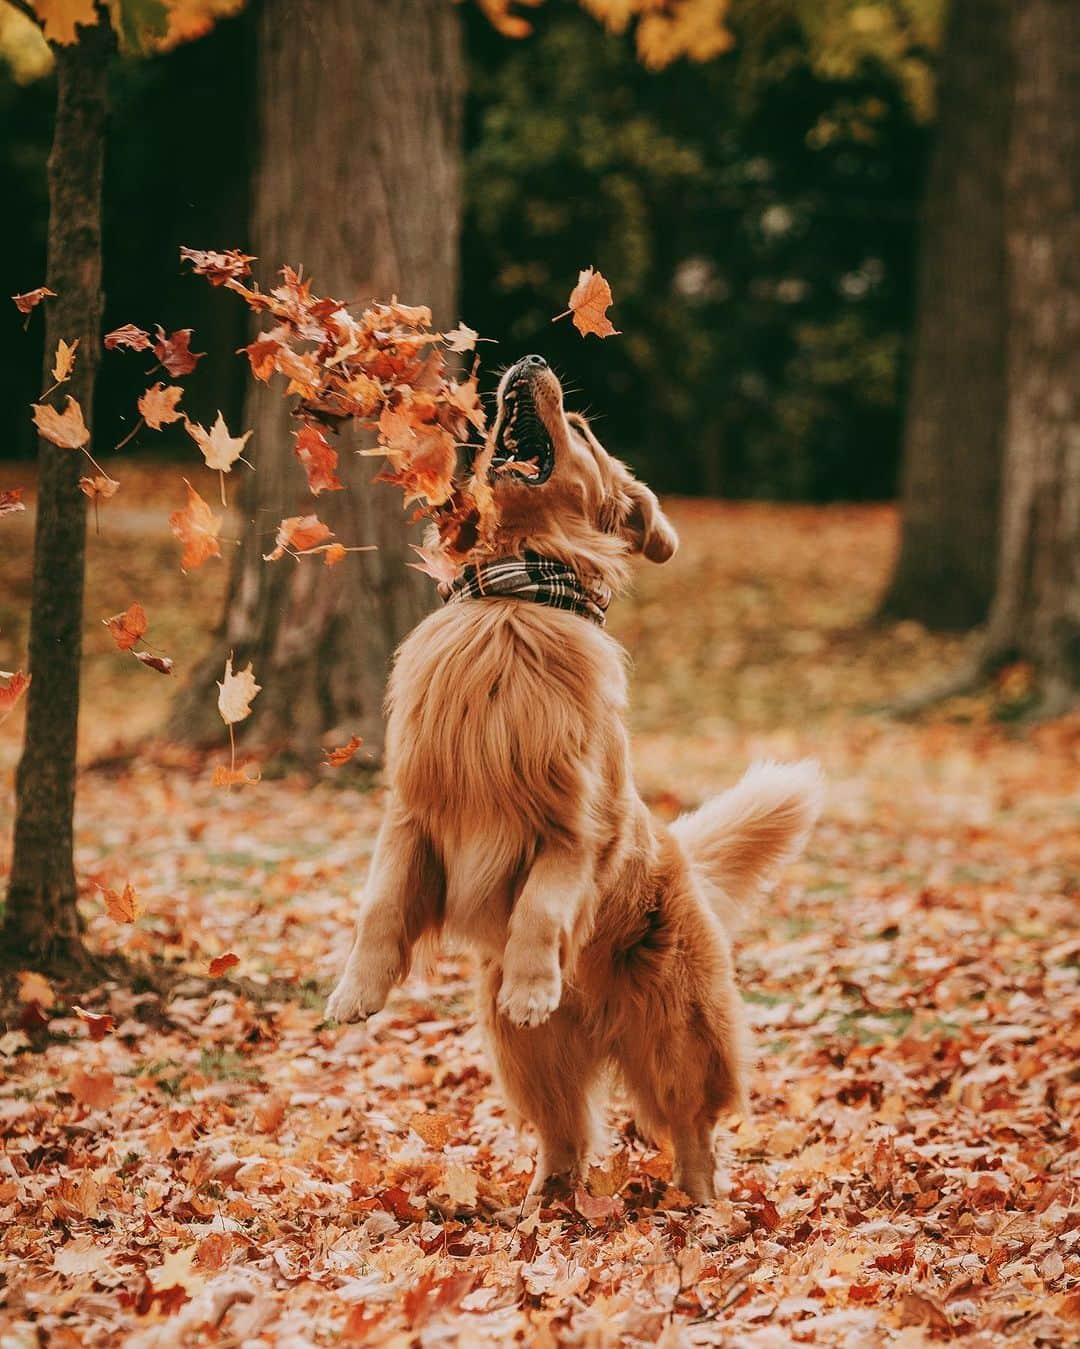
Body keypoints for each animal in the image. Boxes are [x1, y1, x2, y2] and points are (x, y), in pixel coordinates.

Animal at [324, 350, 819, 1203]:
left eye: (582, 430)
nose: (532, 358)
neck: (513, 595)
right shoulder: (411, 813)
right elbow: (379, 904)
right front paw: (359, 988)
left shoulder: (578, 825)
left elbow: (543, 905)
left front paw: (532, 982)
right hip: (524, 1058)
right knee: (567, 1131)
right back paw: (543, 1201)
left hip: (677, 1031)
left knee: (692, 1122)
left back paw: (701, 1204)